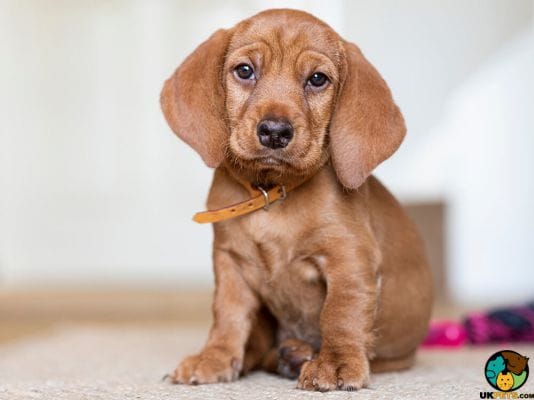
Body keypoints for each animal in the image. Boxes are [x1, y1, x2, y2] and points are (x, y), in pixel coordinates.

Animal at [161, 8, 434, 390]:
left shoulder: (349, 258)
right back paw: (280, 355)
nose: (275, 132)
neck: (272, 194)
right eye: (244, 71)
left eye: (317, 79)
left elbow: (340, 312)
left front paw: (335, 362)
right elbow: (228, 315)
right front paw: (215, 356)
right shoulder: (230, 263)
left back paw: (299, 355)